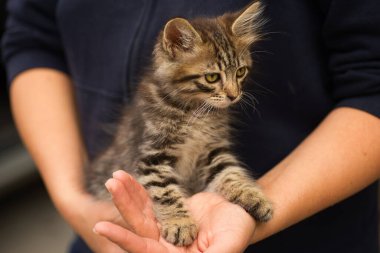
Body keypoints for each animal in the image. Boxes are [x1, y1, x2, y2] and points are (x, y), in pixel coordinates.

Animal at [87, 1, 272, 247]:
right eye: (212, 77)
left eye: (240, 72)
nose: (234, 96)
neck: (194, 112)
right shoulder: (152, 156)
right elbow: (165, 192)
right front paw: (179, 224)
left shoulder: (212, 150)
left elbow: (231, 173)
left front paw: (252, 195)